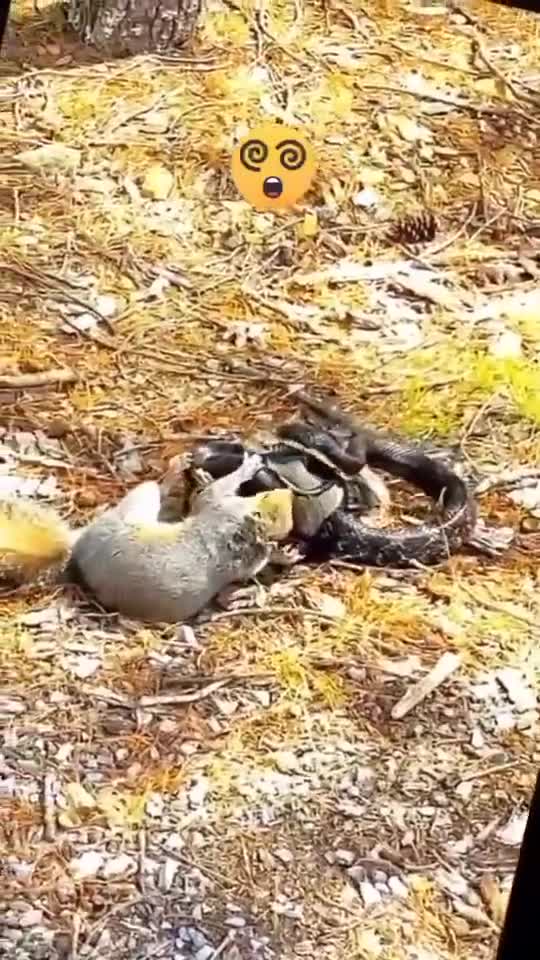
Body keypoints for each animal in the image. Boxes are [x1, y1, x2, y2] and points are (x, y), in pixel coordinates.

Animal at [0, 453, 294, 624]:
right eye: (268, 496)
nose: (289, 492)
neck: (242, 531)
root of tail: (78, 546)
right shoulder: (219, 508)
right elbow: (213, 492)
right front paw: (247, 466)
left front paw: (284, 554)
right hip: (140, 503)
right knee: (156, 488)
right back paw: (174, 473)